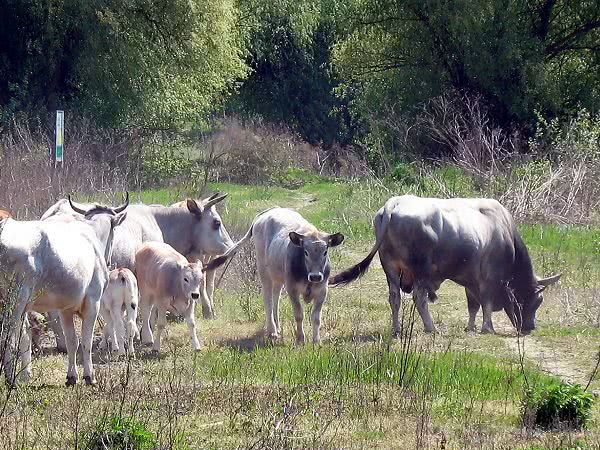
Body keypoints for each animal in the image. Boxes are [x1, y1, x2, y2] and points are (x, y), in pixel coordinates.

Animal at [0, 202, 126, 384]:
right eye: (114, 230)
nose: (109, 261)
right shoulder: (93, 302)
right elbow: (86, 341)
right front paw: (89, 376)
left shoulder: (65, 309)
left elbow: (72, 341)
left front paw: (72, 377)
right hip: (16, 300)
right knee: (7, 338)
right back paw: (11, 379)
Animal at [206, 208, 344, 344]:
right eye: (305, 252)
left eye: (325, 251)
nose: (316, 276)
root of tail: (268, 212)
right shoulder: (292, 289)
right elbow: (299, 315)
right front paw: (300, 339)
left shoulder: (322, 291)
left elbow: (316, 318)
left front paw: (316, 341)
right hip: (263, 271)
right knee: (268, 298)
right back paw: (272, 330)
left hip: (278, 277)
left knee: (275, 298)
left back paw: (277, 327)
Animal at [330, 196, 560, 334]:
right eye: (536, 301)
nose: (530, 327)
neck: (505, 233)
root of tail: (393, 204)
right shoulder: (490, 278)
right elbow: (485, 303)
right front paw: (487, 328)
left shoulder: (471, 280)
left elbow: (473, 306)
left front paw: (470, 327)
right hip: (420, 270)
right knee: (419, 298)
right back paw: (430, 327)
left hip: (391, 269)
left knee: (394, 298)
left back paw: (396, 329)